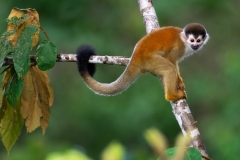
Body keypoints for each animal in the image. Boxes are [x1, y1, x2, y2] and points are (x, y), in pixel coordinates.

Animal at [76, 23, 208, 101]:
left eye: (198, 40)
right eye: (192, 40)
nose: (195, 45)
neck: (185, 42)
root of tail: (136, 56)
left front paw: (179, 81)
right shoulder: (180, 47)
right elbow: (171, 59)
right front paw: (178, 80)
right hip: (150, 60)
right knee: (169, 68)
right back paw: (172, 95)